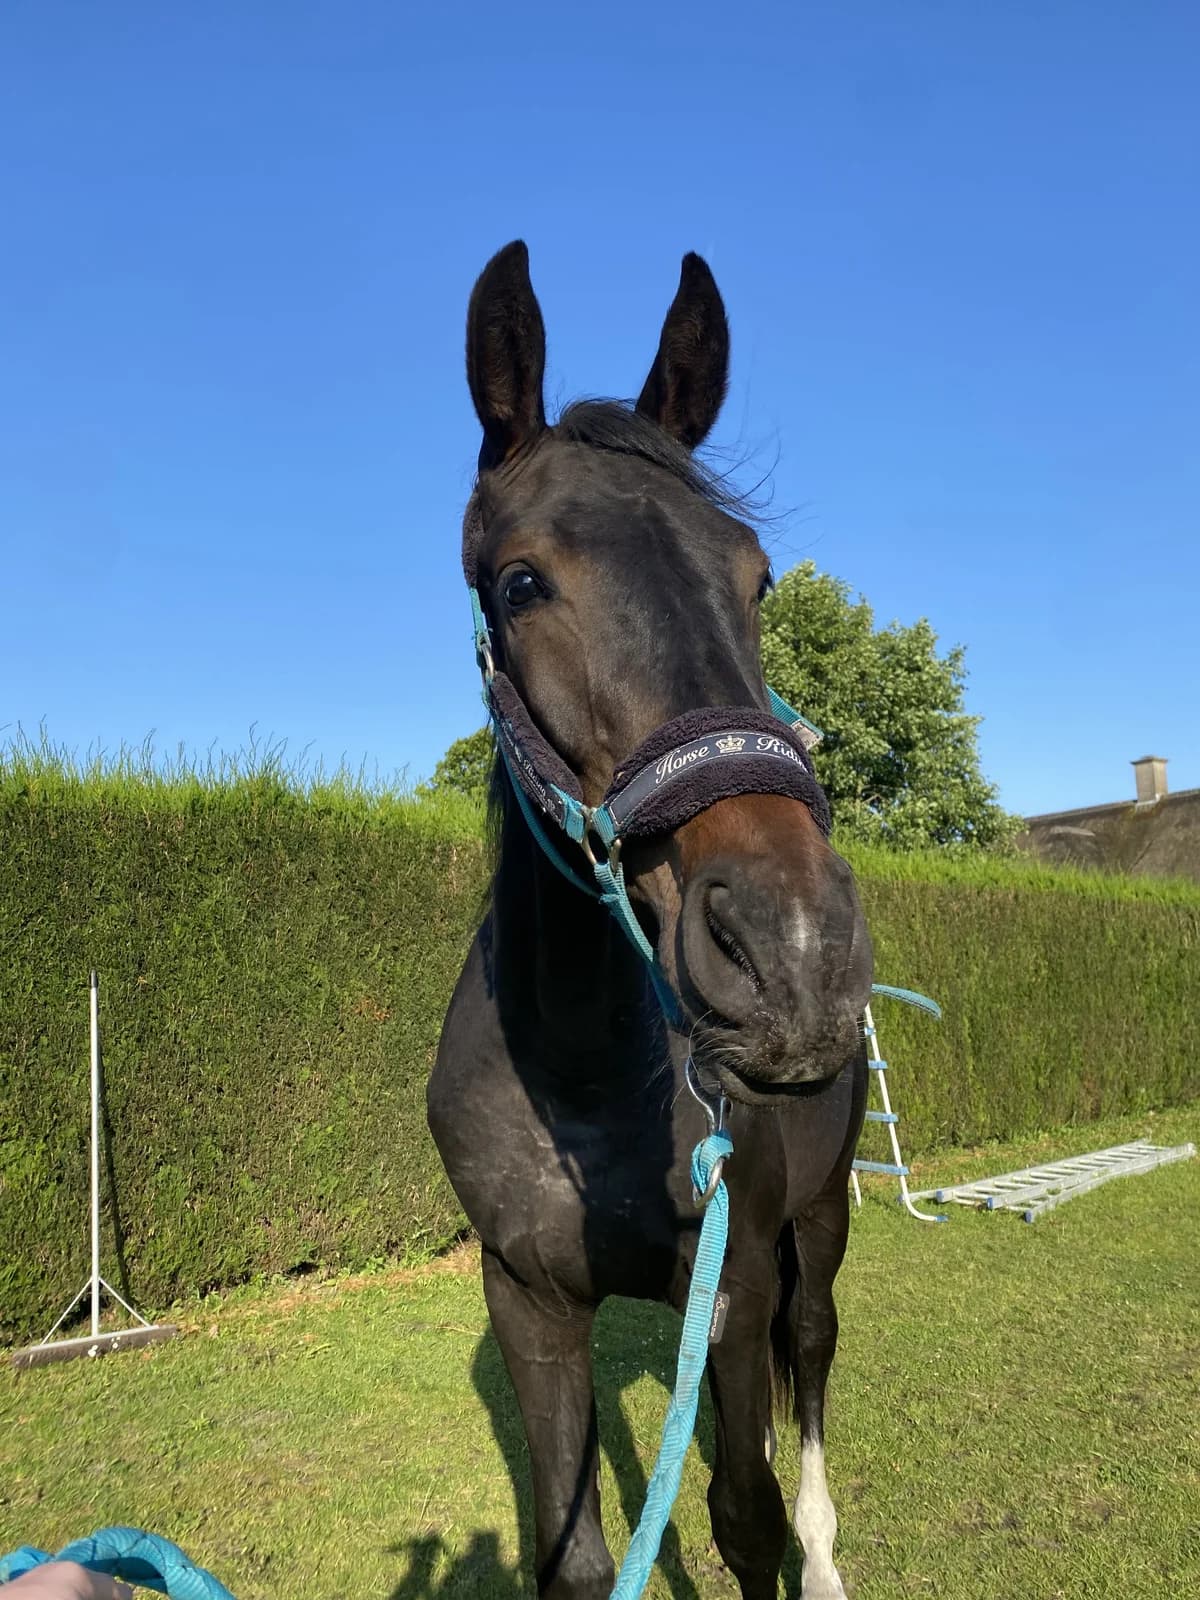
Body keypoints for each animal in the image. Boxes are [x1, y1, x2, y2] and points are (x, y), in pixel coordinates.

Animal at [427, 241, 873, 1600]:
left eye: (755, 576)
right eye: (522, 581)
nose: (794, 950)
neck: (579, 1066)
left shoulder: (726, 1288)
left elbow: (743, 1513)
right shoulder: (527, 1302)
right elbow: (572, 1552)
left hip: (821, 1219)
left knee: (814, 1356)